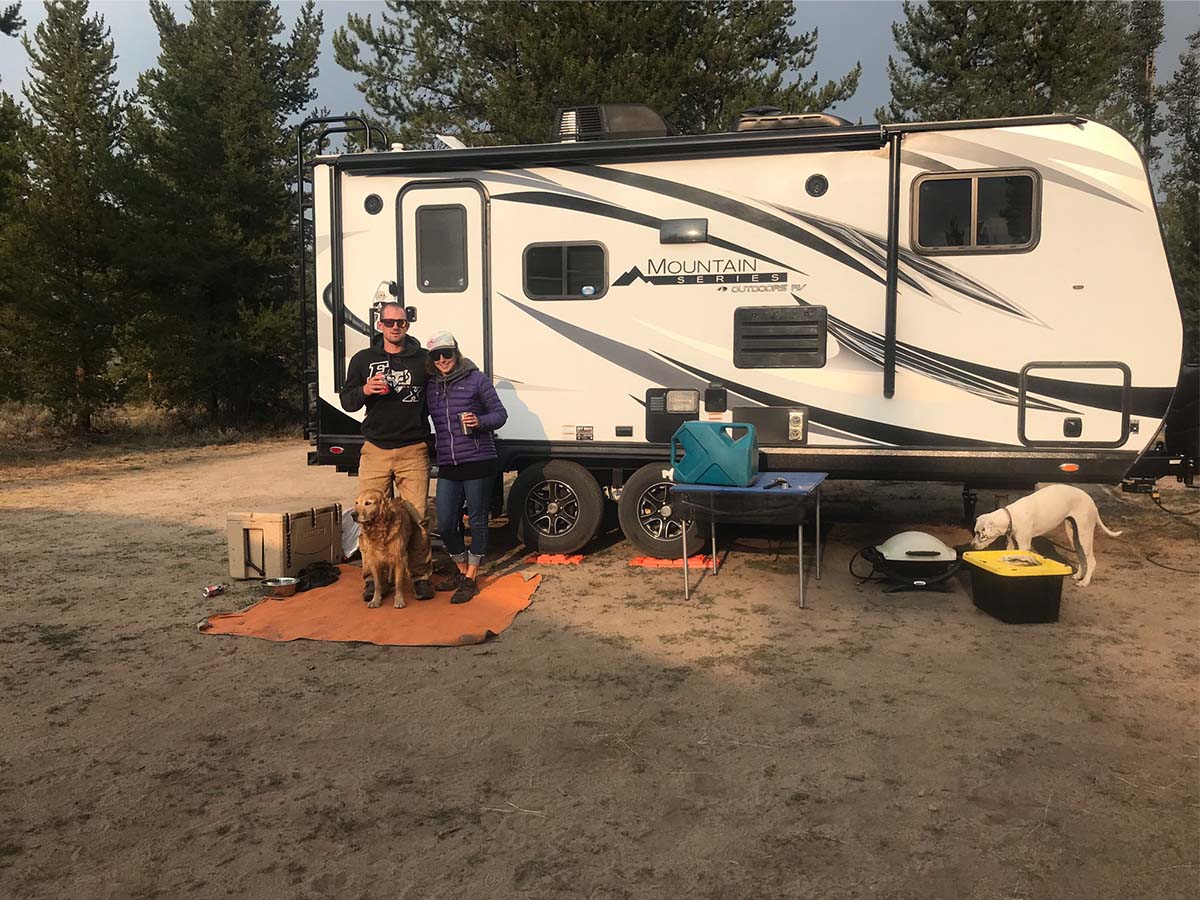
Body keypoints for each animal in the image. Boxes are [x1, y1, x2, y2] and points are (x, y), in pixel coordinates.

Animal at [969, 482, 1118, 588]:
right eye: (975, 532)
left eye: (980, 534)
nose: (971, 545)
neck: (1011, 516)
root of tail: (1092, 502)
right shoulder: (1011, 543)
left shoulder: (1024, 546)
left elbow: (1014, 556)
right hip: (1074, 536)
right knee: (1082, 557)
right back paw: (1078, 576)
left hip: (1084, 534)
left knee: (1091, 560)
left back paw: (1085, 582)